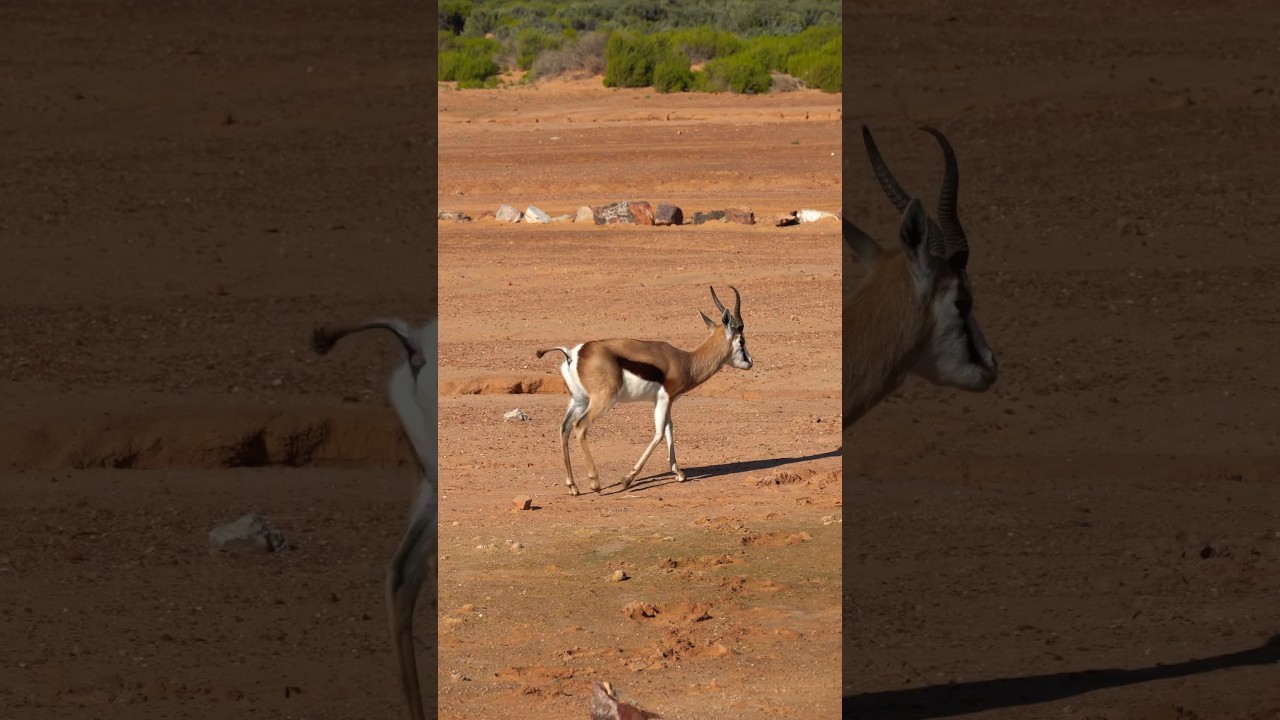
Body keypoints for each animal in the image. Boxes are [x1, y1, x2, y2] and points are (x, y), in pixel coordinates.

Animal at [536, 286, 753, 495]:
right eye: (741, 341)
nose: (750, 362)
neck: (686, 362)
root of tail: (573, 354)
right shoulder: (664, 398)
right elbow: (659, 433)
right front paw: (627, 479)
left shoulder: (665, 400)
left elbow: (669, 430)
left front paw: (679, 473)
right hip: (601, 401)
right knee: (580, 426)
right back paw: (595, 484)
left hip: (579, 400)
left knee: (564, 428)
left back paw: (573, 487)